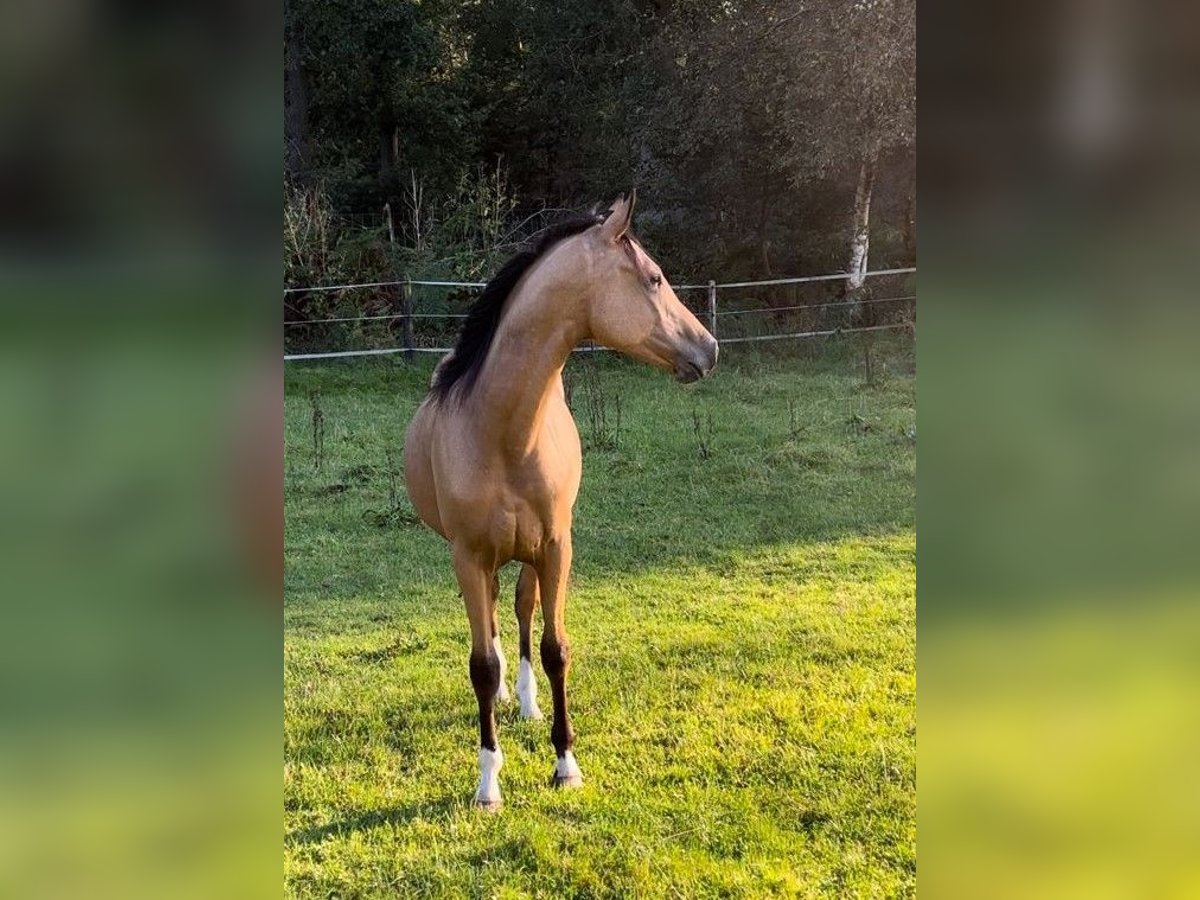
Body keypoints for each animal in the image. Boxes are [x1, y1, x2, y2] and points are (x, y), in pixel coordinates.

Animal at [403, 190, 720, 811]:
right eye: (653, 278)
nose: (709, 348)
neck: (505, 433)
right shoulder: (468, 556)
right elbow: (480, 664)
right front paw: (488, 783)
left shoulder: (555, 548)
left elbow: (555, 650)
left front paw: (565, 764)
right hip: (488, 559)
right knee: (495, 620)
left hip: (530, 554)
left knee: (522, 610)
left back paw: (525, 701)